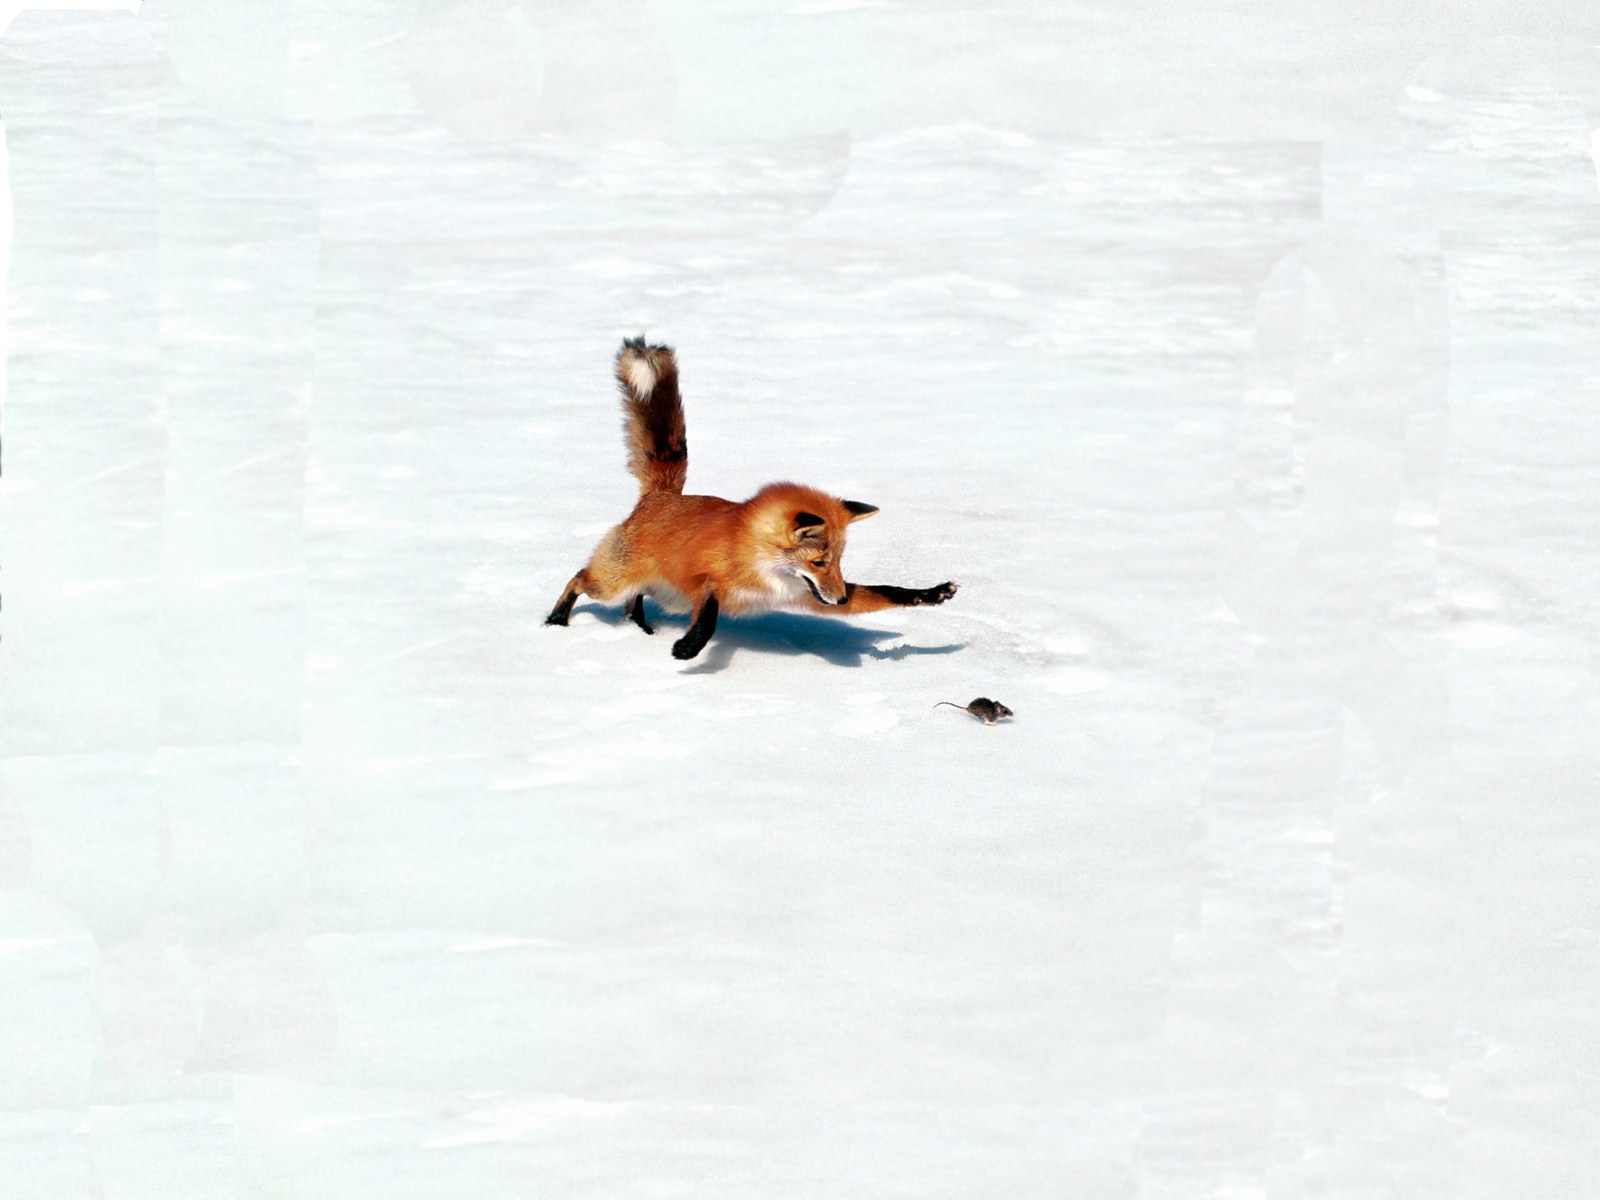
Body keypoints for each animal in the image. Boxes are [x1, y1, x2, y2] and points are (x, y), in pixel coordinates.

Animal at [545, 338, 958, 661]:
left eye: (839, 562)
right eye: (819, 561)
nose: (840, 599)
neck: (761, 564)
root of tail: (661, 496)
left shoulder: (808, 595)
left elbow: (889, 592)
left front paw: (932, 594)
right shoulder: (707, 580)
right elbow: (710, 615)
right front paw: (689, 647)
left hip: (658, 591)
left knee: (633, 601)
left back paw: (641, 629)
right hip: (613, 582)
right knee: (579, 579)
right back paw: (555, 620)